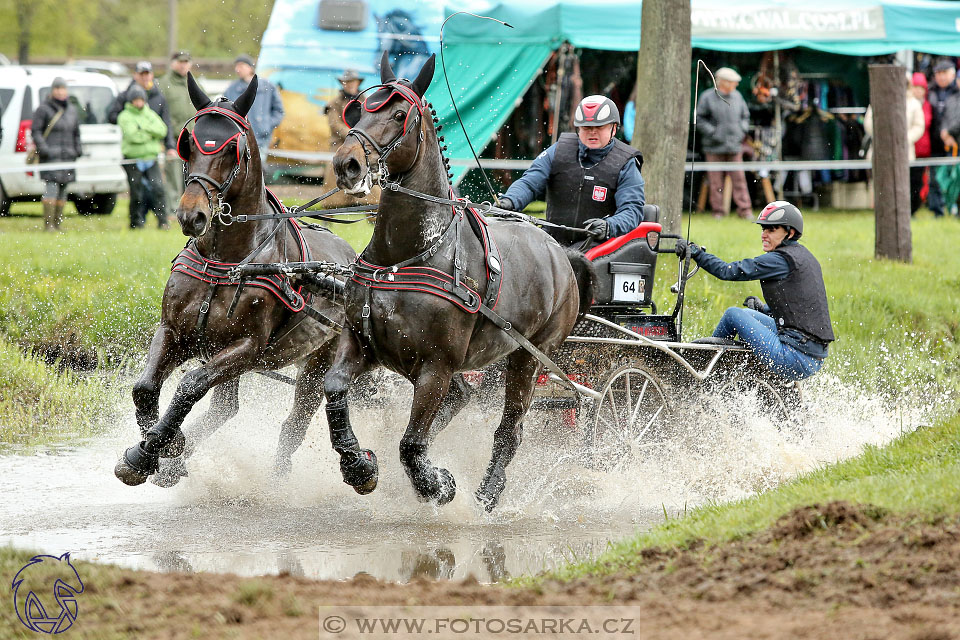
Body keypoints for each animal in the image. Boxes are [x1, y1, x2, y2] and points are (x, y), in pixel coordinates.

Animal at [115, 72, 356, 488]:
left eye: (232, 149)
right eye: (188, 144)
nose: (191, 215)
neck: (225, 261)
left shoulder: (246, 347)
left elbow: (189, 386)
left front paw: (157, 448)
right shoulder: (175, 332)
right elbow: (145, 388)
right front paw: (161, 447)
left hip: (319, 362)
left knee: (293, 424)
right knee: (226, 408)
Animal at [322, 51, 592, 510]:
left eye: (399, 115)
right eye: (358, 111)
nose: (347, 164)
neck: (404, 257)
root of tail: (560, 250)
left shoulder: (436, 367)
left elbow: (411, 445)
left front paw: (437, 484)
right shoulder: (361, 343)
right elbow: (335, 389)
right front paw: (359, 466)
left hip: (529, 358)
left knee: (508, 430)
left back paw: (486, 494)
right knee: (462, 400)